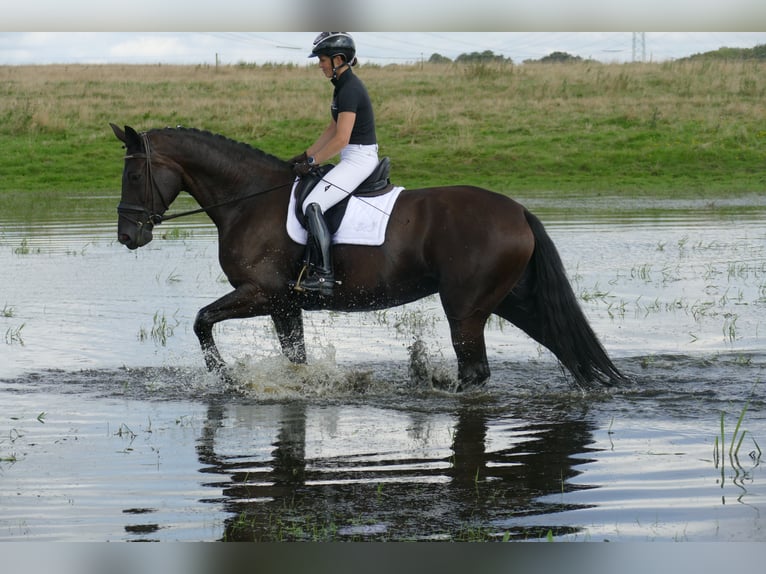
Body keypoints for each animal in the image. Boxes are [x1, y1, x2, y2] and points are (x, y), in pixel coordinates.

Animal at [112, 124, 632, 394]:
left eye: (135, 174)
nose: (127, 236)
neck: (250, 200)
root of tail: (517, 210)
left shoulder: (262, 293)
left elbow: (201, 320)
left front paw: (228, 380)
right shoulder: (285, 305)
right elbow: (295, 358)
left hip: (464, 308)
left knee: (476, 369)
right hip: (509, 300)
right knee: (560, 340)